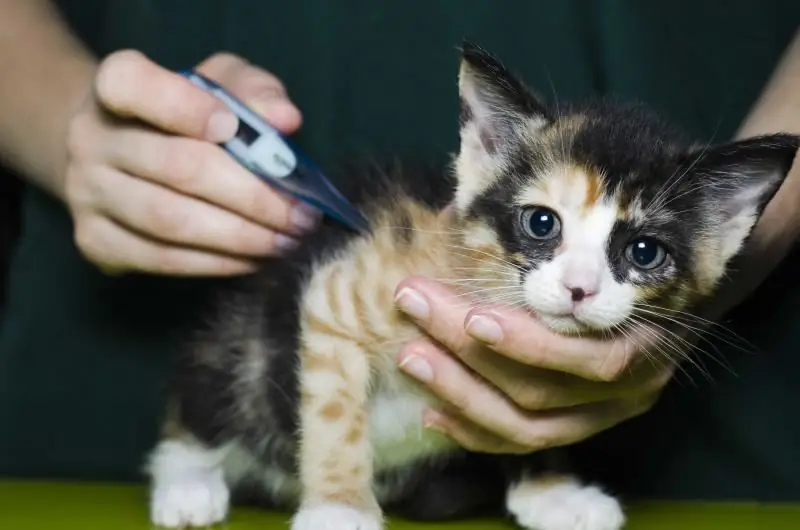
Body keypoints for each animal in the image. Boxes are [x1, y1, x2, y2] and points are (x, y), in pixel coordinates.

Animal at [145, 42, 800, 528]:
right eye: (542, 223)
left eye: (644, 252)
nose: (580, 289)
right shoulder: (341, 291)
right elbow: (334, 410)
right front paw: (338, 507)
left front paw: (552, 491)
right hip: (243, 346)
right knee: (209, 396)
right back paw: (187, 481)